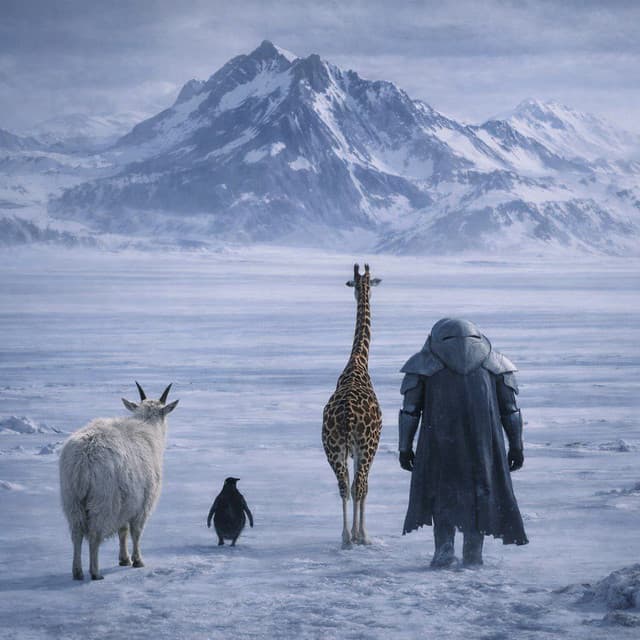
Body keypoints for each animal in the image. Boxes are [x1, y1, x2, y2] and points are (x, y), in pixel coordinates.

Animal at [58, 382, 178, 580]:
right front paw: (137, 560)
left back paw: (77, 572)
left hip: (72, 499)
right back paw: (95, 572)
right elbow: (136, 532)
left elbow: (123, 531)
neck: (148, 427)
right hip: (103, 501)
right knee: (94, 536)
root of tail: (84, 458)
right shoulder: (143, 503)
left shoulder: (127, 501)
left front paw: (124, 559)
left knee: (76, 534)